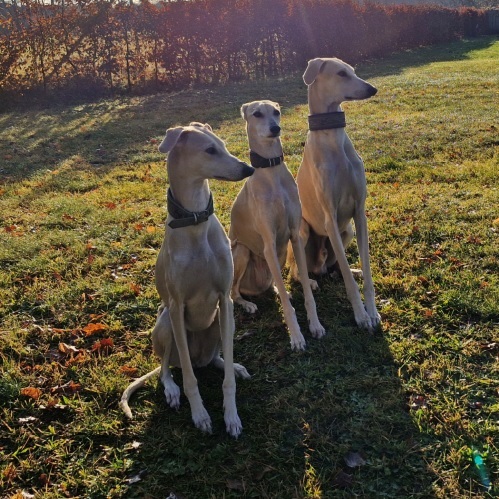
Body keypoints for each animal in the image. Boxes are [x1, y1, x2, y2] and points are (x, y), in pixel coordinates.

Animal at [120, 123, 254, 437]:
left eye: (222, 144)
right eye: (209, 150)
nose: (249, 169)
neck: (195, 222)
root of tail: (196, 358)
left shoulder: (224, 299)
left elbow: (227, 381)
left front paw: (231, 416)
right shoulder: (178, 306)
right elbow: (191, 382)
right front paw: (201, 416)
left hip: (220, 322)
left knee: (215, 358)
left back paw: (232, 366)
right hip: (166, 323)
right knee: (168, 367)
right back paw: (171, 388)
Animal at [230, 100, 325, 351]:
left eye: (276, 112)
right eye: (257, 114)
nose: (275, 128)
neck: (271, 171)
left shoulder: (294, 237)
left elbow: (304, 292)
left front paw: (315, 324)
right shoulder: (269, 244)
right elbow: (285, 302)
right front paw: (296, 336)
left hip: (281, 253)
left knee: (275, 282)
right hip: (241, 252)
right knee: (234, 292)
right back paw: (247, 304)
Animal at [290, 58, 381, 332]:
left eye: (353, 71)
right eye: (341, 73)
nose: (372, 89)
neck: (333, 137)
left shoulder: (359, 214)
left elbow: (367, 272)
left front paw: (372, 312)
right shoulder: (329, 218)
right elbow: (350, 284)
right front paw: (361, 315)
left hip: (347, 231)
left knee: (336, 265)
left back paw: (349, 270)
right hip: (303, 232)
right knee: (297, 270)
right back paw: (310, 281)